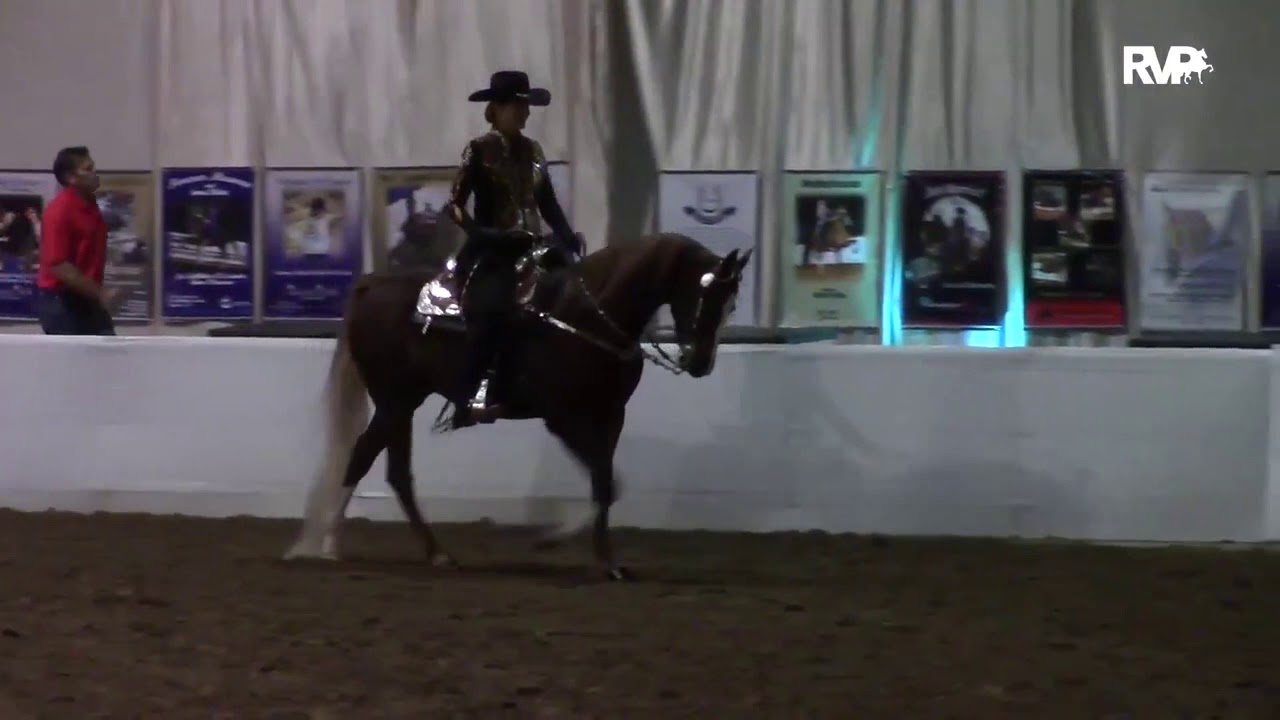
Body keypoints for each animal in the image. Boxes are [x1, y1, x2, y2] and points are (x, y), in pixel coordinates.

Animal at [284, 232, 753, 580]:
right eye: (705, 296)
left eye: (732, 302)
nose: (700, 363)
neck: (587, 317)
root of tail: (371, 285)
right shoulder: (562, 417)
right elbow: (605, 483)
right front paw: (557, 541)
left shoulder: (610, 415)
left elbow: (607, 484)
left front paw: (603, 559)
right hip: (393, 399)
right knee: (365, 457)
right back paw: (329, 545)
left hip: (402, 402)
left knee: (391, 469)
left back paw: (428, 553)